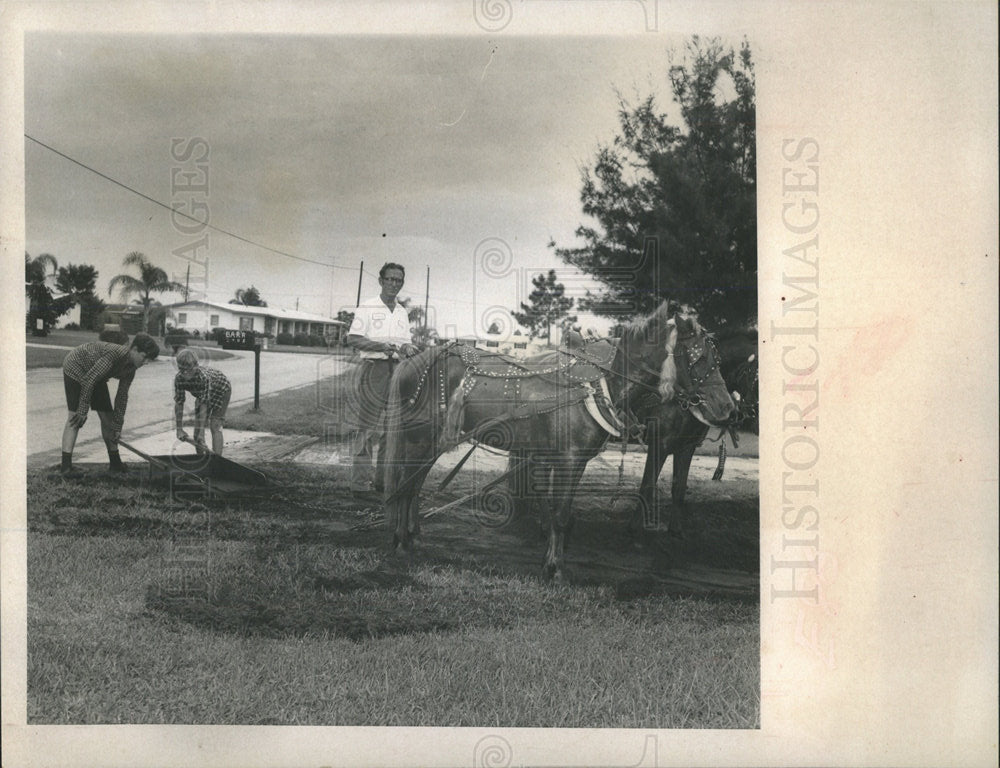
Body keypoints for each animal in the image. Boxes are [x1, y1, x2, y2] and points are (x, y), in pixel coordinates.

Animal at [378, 304, 732, 580]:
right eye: (700, 359)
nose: (727, 407)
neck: (599, 384)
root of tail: (414, 360)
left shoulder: (569, 461)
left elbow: (558, 513)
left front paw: (551, 561)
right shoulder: (571, 460)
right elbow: (560, 514)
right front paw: (555, 568)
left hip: (431, 443)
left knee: (413, 485)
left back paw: (410, 536)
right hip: (419, 439)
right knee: (405, 485)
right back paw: (400, 541)